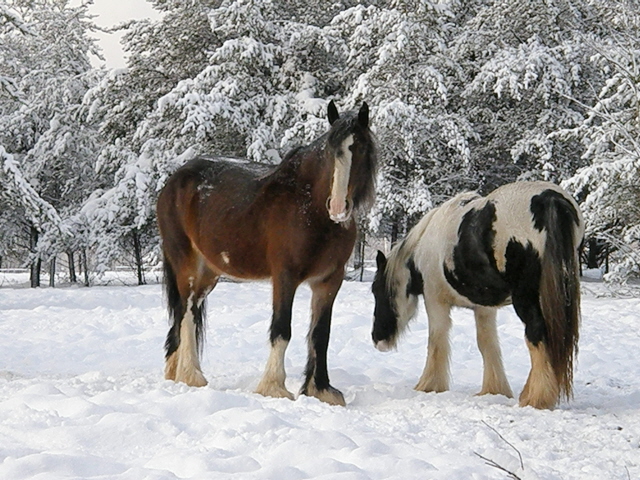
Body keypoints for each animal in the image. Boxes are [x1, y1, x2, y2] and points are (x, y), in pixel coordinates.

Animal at [156, 100, 376, 404]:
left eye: (362, 149)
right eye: (331, 152)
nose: (338, 206)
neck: (309, 208)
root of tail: (174, 181)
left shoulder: (329, 281)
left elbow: (321, 334)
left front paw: (320, 390)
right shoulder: (285, 276)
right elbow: (282, 328)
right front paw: (274, 387)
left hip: (208, 274)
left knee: (182, 311)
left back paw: (176, 372)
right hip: (186, 264)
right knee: (187, 313)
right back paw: (192, 376)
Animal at [370, 180, 584, 408]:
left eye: (376, 290)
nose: (377, 340)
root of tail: (550, 198)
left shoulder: (435, 301)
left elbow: (436, 341)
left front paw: (428, 385)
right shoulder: (484, 308)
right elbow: (487, 344)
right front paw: (494, 389)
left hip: (526, 298)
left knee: (536, 333)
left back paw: (536, 398)